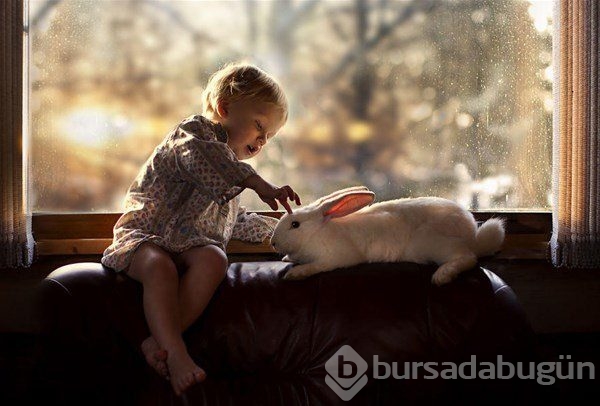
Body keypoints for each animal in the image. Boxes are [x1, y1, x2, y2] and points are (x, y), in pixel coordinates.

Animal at [270, 187, 504, 286]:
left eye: (295, 225)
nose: (272, 243)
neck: (318, 231)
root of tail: (472, 235)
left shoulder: (336, 258)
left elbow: (316, 266)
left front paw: (296, 273)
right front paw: (287, 259)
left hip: (433, 244)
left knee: (467, 258)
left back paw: (442, 276)